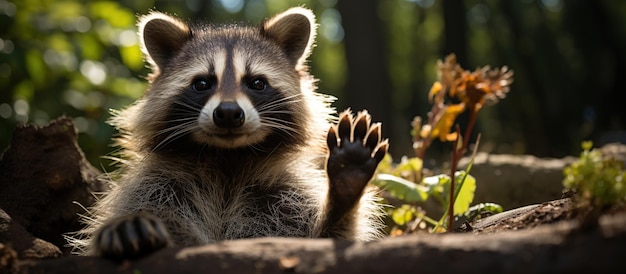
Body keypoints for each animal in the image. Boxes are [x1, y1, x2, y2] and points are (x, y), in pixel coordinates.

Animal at [70, 6, 388, 260]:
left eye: (256, 83)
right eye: (202, 83)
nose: (228, 113)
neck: (227, 161)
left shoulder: (286, 194)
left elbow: (321, 240)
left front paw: (344, 189)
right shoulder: (156, 185)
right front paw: (126, 227)